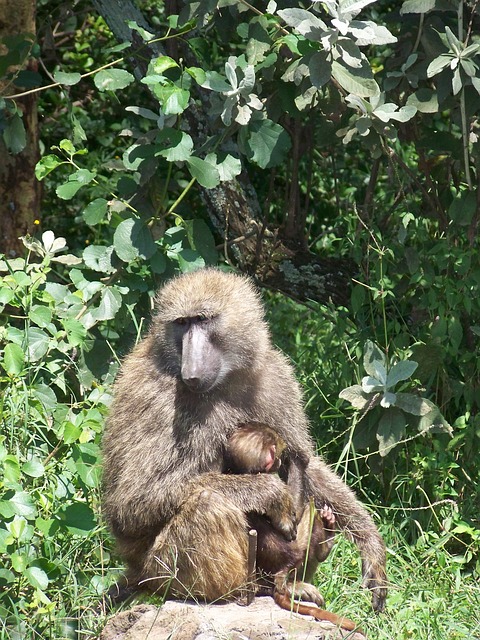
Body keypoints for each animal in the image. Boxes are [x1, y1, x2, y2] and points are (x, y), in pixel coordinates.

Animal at [102, 268, 387, 620]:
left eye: (203, 320)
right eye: (181, 323)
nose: (191, 372)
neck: (224, 379)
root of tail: (137, 572)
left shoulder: (277, 377)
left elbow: (304, 459)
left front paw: (371, 545)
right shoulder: (154, 396)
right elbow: (130, 505)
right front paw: (269, 492)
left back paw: (292, 579)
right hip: (161, 571)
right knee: (207, 503)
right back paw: (236, 592)